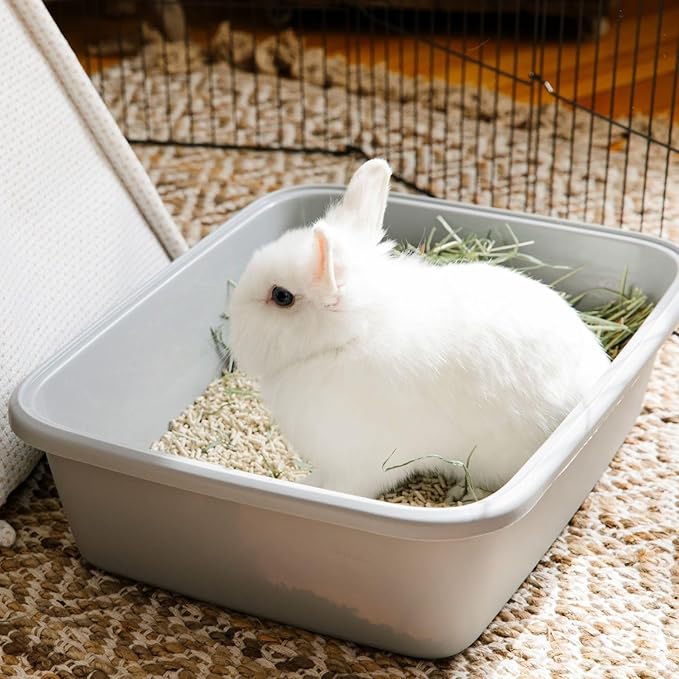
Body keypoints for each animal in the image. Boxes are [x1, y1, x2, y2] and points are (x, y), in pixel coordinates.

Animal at [228, 158, 611, 502]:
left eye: (281, 296)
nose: (234, 332)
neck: (351, 337)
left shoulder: (364, 462)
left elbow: (342, 488)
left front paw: (311, 490)